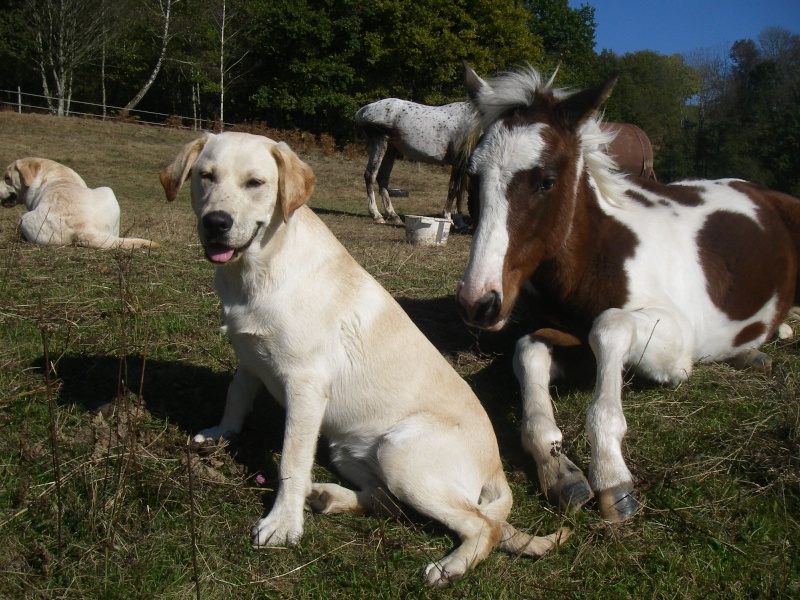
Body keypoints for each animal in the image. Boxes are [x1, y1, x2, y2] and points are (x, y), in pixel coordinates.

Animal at [158, 131, 568, 584]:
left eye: (256, 183)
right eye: (205, 176)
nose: (216, 222)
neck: (258, 268)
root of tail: (497, 469)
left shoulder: (305, 388)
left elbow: (291, 461)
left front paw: (283, 523)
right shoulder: (250, 359)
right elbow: (235, 398)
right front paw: (220, 434)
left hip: (400, 455)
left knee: (484, 525)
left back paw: (451, 566)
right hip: (349, 450)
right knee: (387, 503)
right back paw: (327, 497)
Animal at [456, 65, 800, 524]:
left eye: (546, 181)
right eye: (473, 179)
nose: (478, 302)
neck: (599, 257)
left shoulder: (677, 346)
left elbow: (610, 324)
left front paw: (610, 472)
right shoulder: (571, 337)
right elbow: (529, 349)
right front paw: (558, 466)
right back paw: (753, 353)